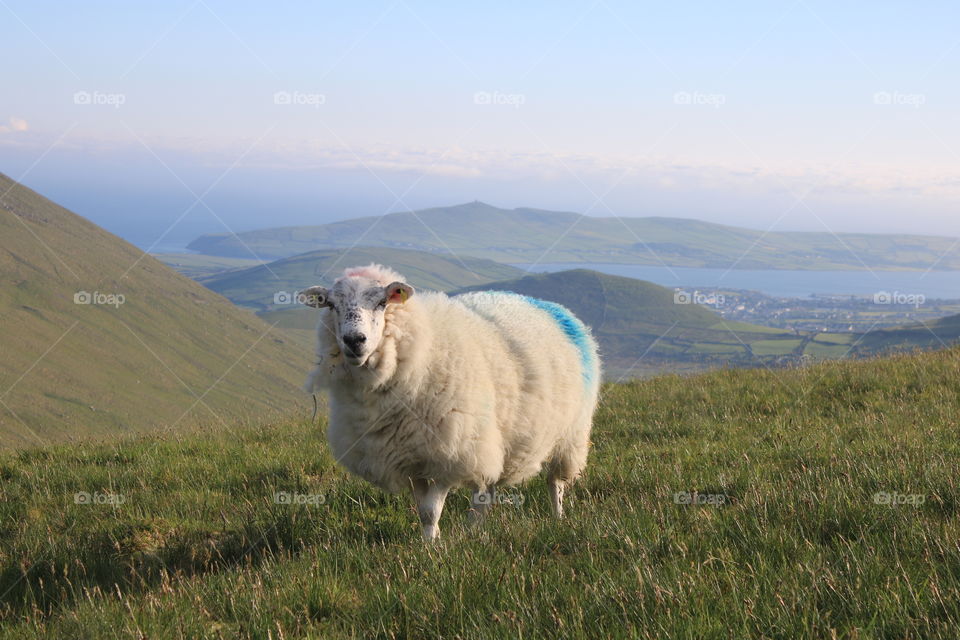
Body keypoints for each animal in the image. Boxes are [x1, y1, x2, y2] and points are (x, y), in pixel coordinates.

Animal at [301, 264, 601, 541]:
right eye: (331, 305)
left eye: (382, 302)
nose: (354, 341)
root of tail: (556, 309)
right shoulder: (409, 458)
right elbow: (423, 511)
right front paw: (428, 541)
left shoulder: (448, 451)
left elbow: (431, 509)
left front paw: (433, 548)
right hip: (493, 438)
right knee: (486, 489)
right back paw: (474, 530)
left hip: (570, 432)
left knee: (555, 482)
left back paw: (557, 518)